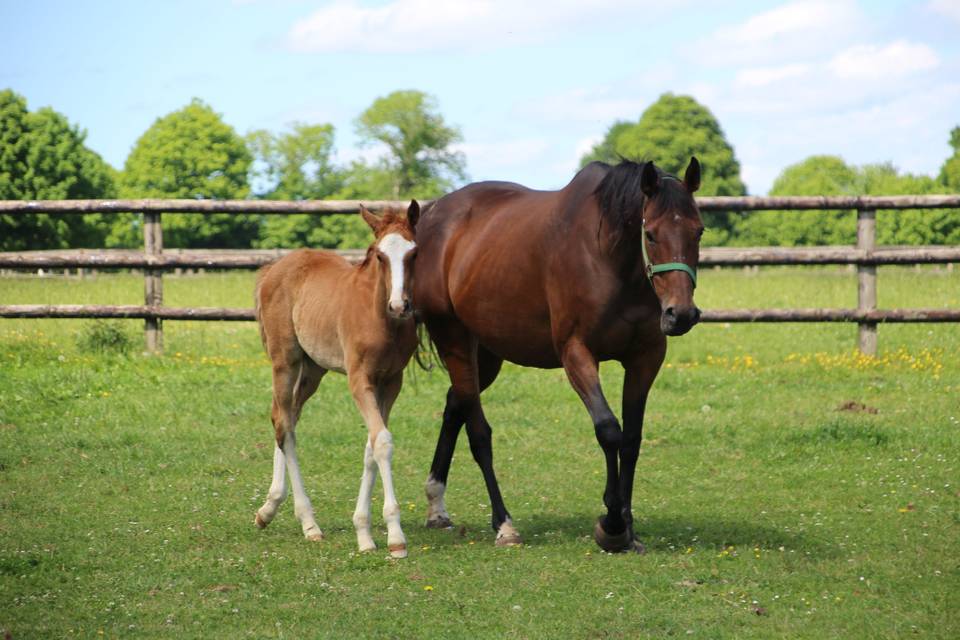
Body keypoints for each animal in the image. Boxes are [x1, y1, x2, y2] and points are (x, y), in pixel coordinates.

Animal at [255, 202, 420, 556]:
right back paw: (309, 523)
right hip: (285, 360)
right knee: (283, 424)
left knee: (286, 417)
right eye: (380, 255)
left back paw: (269, 509)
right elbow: (382, 442)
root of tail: (273, 269)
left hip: (313, 369)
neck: (380, 319)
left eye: (413, 253)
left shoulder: (391, 382)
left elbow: (372, 444)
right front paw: (395, 538)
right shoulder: (359, 380)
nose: (399, 305)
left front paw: (365, 533)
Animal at [414, 159, 704, 552]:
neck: (607, 257)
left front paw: (629, 530)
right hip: (454, 339)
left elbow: (631, 439)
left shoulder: (645, 358)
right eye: (651, 234)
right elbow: (609, 431)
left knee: (455, 404)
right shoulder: (576, 353)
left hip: (485, 354)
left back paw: (436, 506)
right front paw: (611, 525)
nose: (681, 314)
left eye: (699, 231)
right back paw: (504, 523)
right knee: (478, 432)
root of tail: (433, 217)